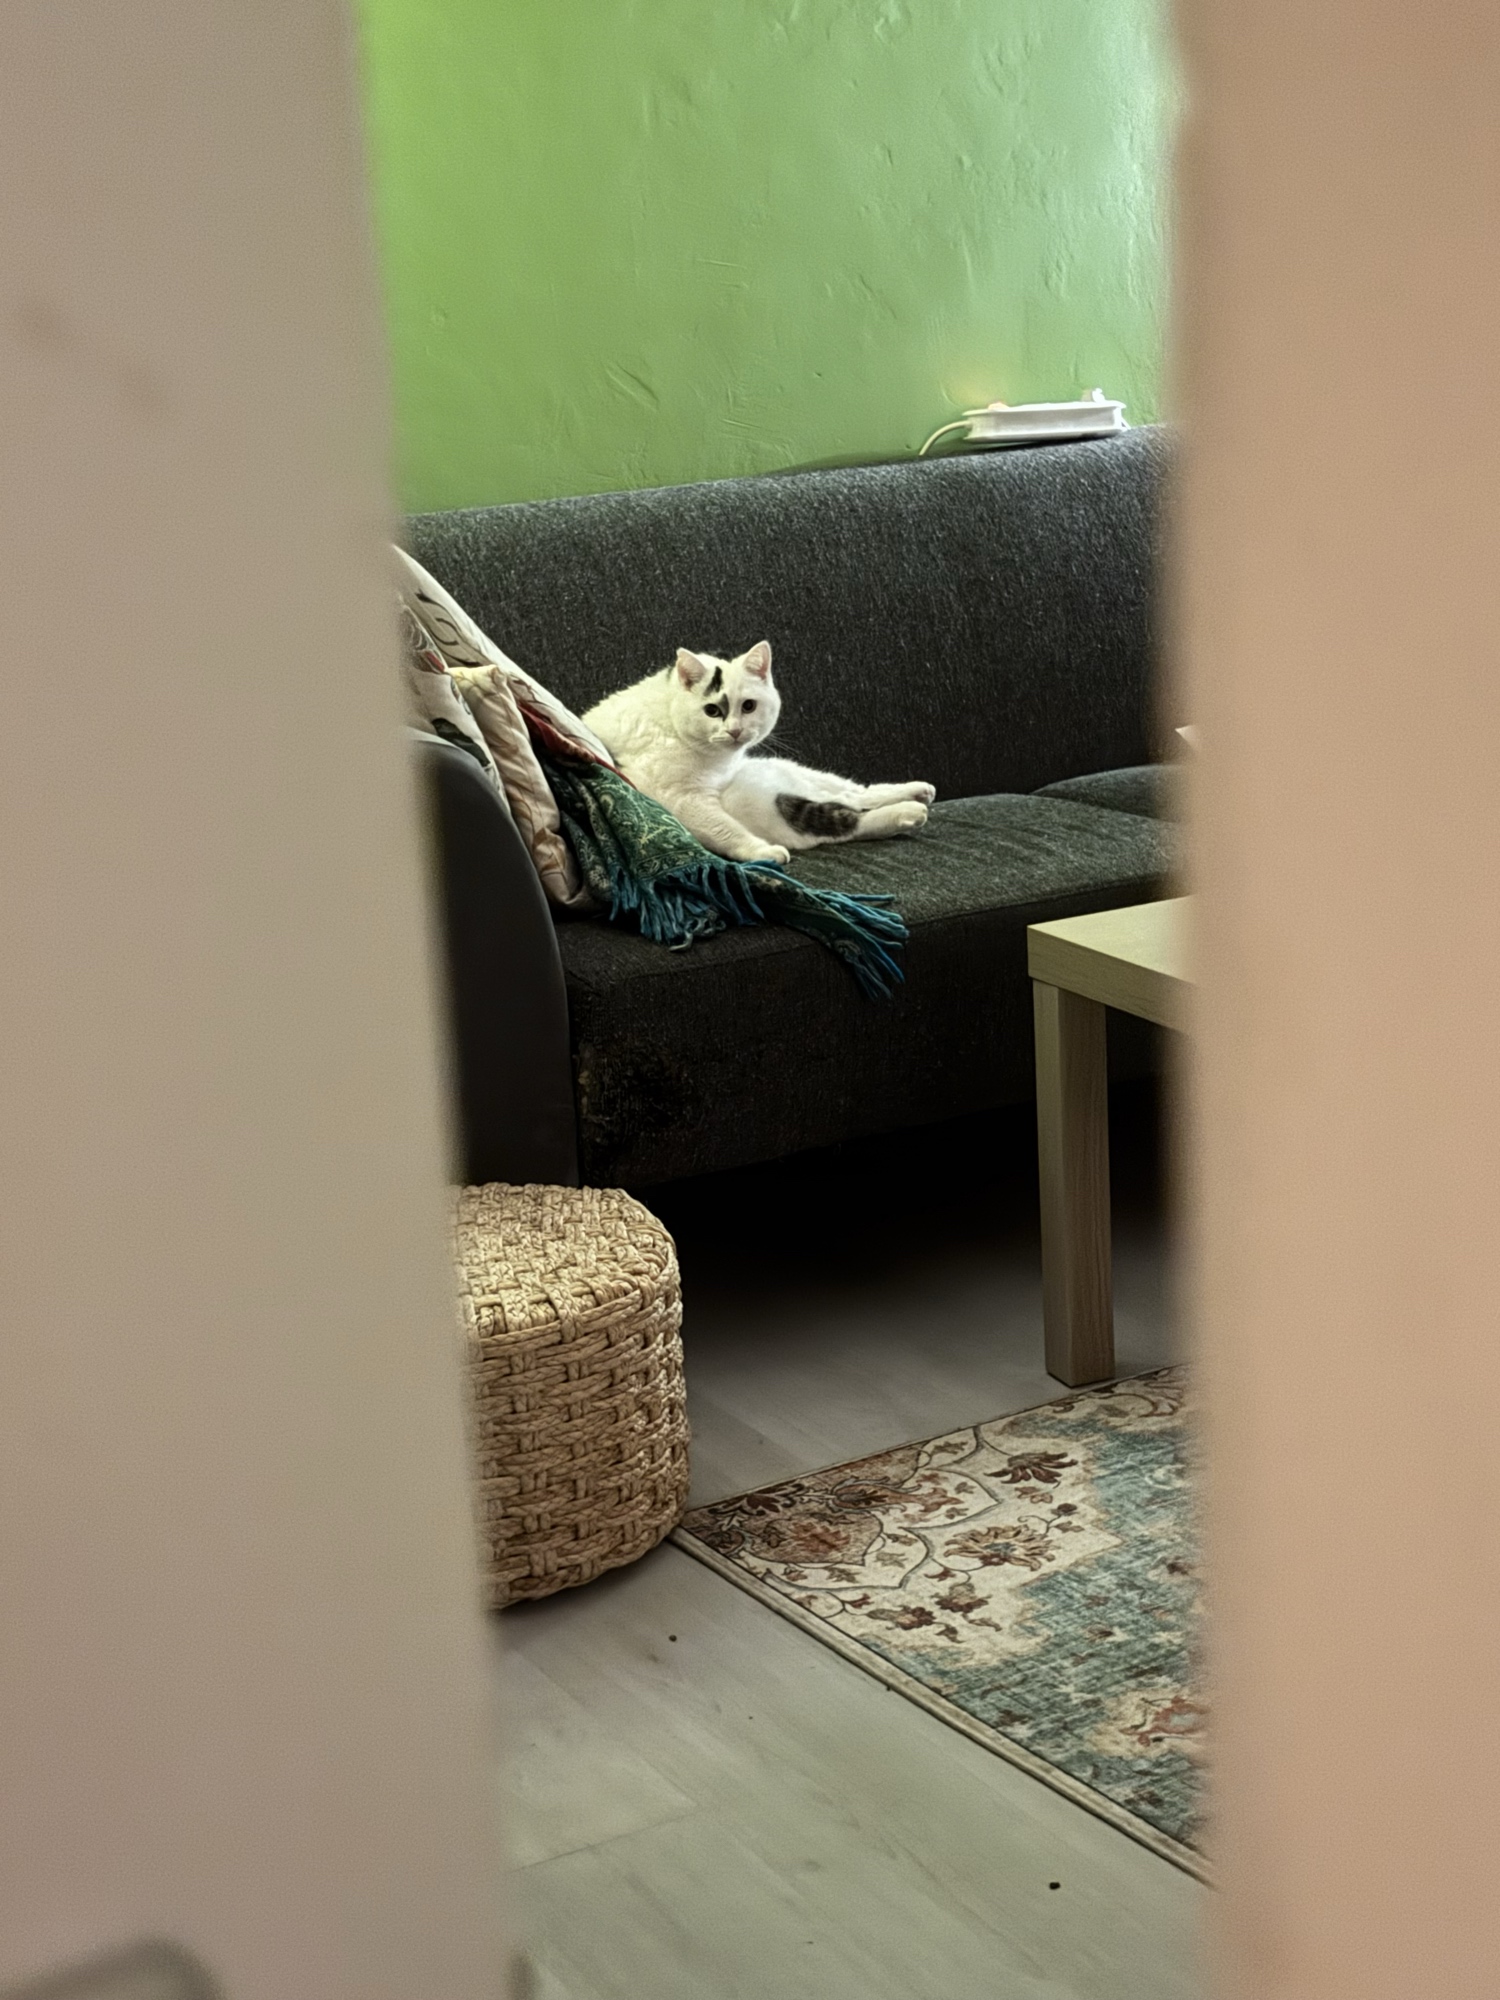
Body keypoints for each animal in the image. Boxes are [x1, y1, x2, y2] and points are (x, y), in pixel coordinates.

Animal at [581, 641, 935, 865]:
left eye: (748, 706)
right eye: (712, 710)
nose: (735, 730)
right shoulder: (682, 799)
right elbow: (724, 828)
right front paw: (760, 852)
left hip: (793, 774)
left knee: (856, 795)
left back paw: (917, 792)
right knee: (848, 816)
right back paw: (910, 812)